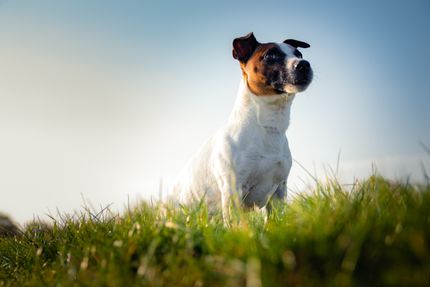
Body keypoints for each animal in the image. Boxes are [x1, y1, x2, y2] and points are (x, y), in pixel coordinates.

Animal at [170, 32, 312, 224]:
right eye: (270, 56)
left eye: (299, 54)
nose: (304, 64)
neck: (268, 127)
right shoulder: (233, 190)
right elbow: (234, 224)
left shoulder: (278, 191)